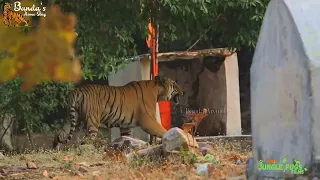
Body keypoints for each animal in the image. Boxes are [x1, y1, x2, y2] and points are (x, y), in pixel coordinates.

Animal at [53, 76, 185, 150]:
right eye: (174, 84)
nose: (183, 91)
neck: (157, 92)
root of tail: (76, 91)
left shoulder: (125, 125)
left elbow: (126, 137)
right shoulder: (148, 120)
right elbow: (162, 130)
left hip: (70, 119)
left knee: (59, 134)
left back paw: (55, 151)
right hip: (92, 122)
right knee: (86, 141)